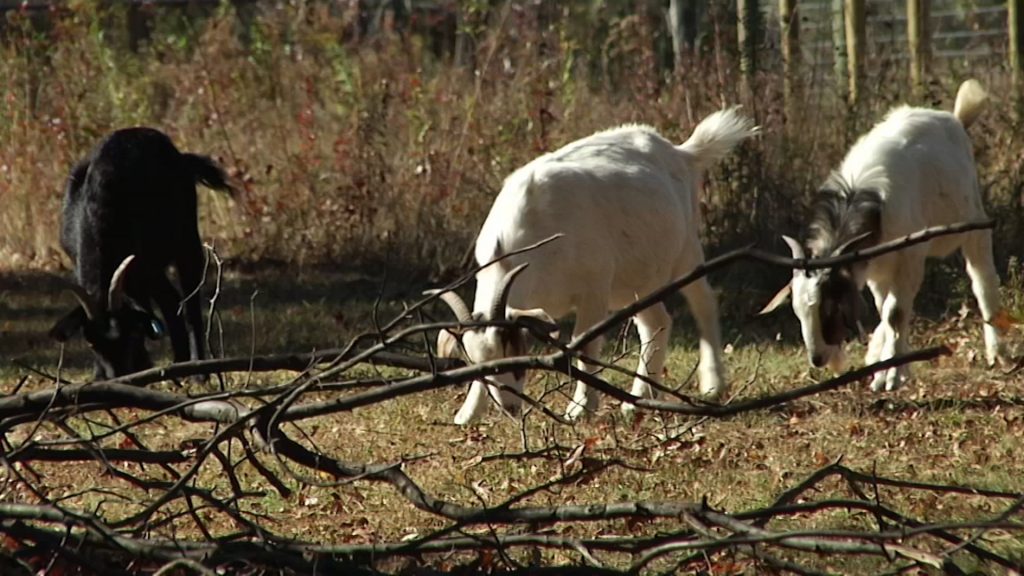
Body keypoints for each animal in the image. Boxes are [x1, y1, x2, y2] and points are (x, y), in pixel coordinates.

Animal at [49, 127, 235, 379]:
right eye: (91, 343)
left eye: (130, 334)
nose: (117, 376)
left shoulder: (141, 266)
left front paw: (142, 364)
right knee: (169, 299)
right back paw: (179, 361)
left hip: (185, 239)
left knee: (189, 300)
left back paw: (197, 370)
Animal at [433, 108, 758, 424]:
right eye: (479, 365)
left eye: (511, 351)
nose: (510, 408)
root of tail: (682, 152)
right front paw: (468, 414)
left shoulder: (594, 290)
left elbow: (584, 345)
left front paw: (579, 409)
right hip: (638, 281)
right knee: (656, 323)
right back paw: (639, 401)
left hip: (685, 252)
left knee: (704, 302)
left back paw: (712, 385)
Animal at [760, 79, 1008, 392]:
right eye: (797, 311)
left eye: (830, 307)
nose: (817, 359)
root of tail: (955, 119)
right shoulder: (877, 268)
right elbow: (885, 311)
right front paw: (886, 366)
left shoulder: (910, 255)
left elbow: (895, 313)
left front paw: (891, 377)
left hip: (973, 221)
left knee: (982, 279)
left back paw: (998, 352)